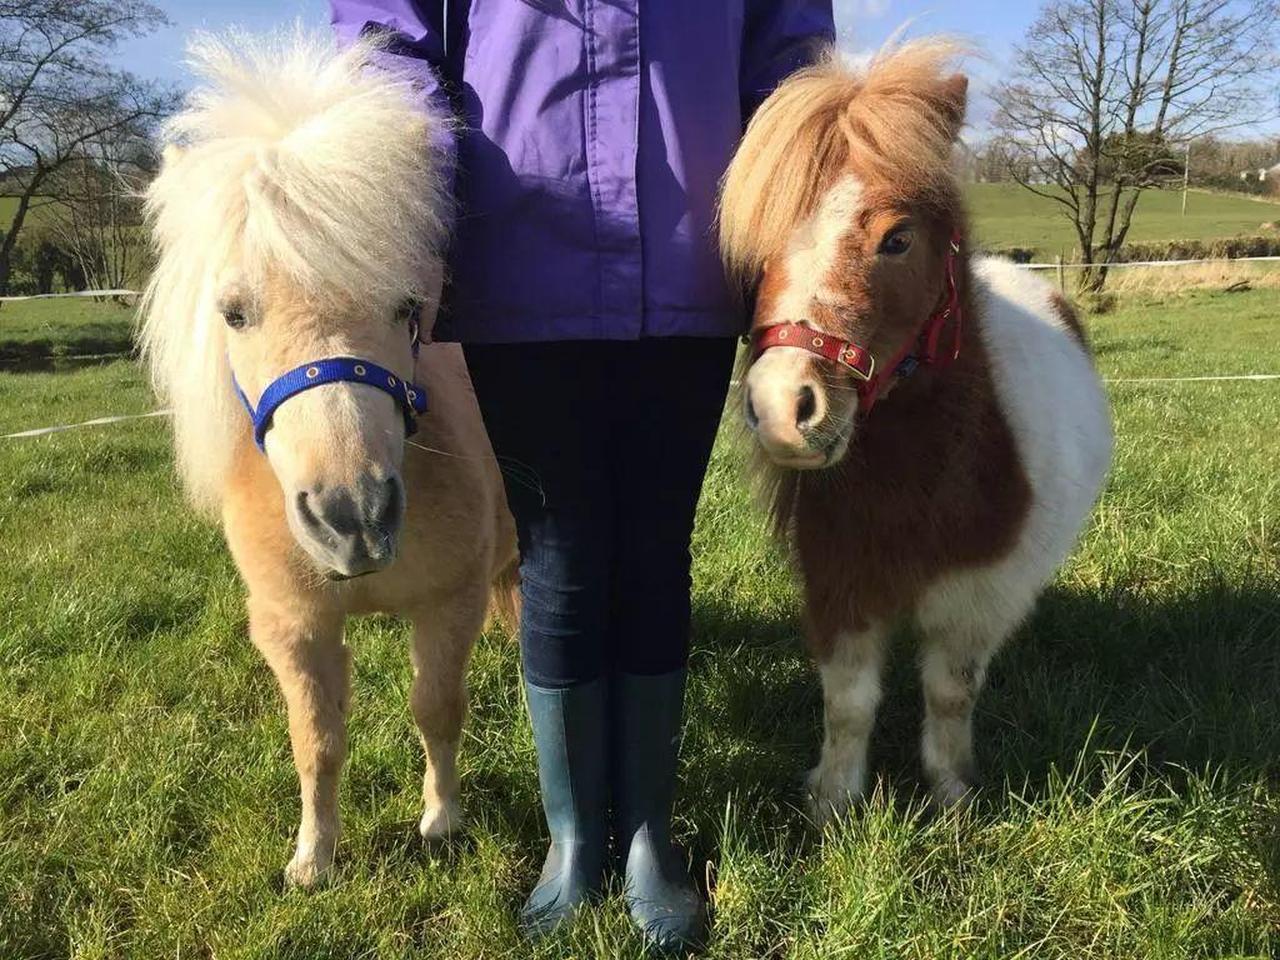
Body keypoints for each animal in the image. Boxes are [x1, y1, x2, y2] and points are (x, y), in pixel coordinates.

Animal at [138, 32, 514, 885]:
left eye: (407, 308)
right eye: (233, 313)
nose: (354, 518)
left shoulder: (447, 602)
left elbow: (436, 708)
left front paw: (441, 820)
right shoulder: (293, 625)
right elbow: (317, 741)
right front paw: (314, 859)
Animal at [721, 39, 1111, 819]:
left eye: (897, 239)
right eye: (760, 244)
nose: (781, 408)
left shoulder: (977, 598)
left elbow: (949, 692)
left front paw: (952, 794)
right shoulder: (841, 585)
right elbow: (848, 702)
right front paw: (834, 803)